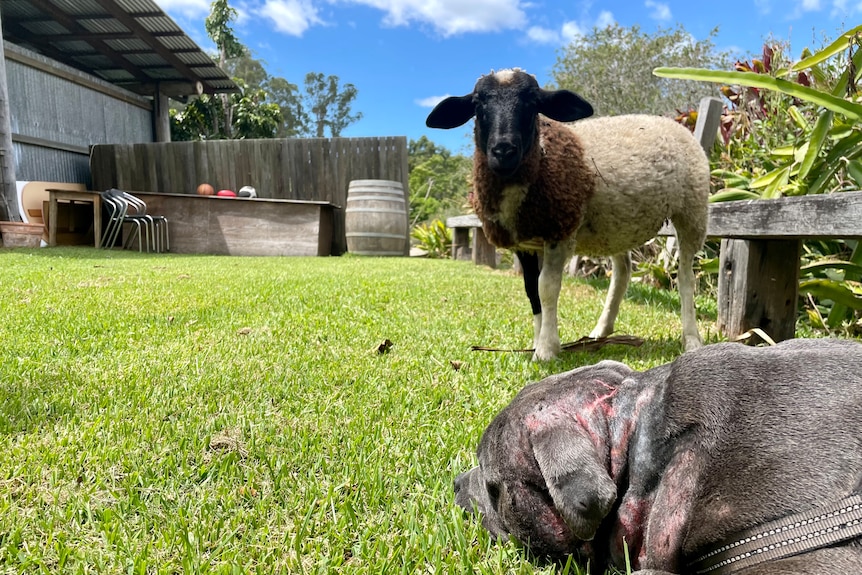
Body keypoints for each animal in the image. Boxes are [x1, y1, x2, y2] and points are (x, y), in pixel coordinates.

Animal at [428, 68, 712, 360]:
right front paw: (538, 340)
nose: (503, 150)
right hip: (616, 223)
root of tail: (672, 122)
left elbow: (547, 288)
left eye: (533, 103)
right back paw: (601, 330)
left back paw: (691, 339)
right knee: (623, 271)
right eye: (477, 103)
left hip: (692, 212)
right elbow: (532, 291)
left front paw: (546, 349)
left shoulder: (559, 231)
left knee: (686, 278)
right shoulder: (526, 243)